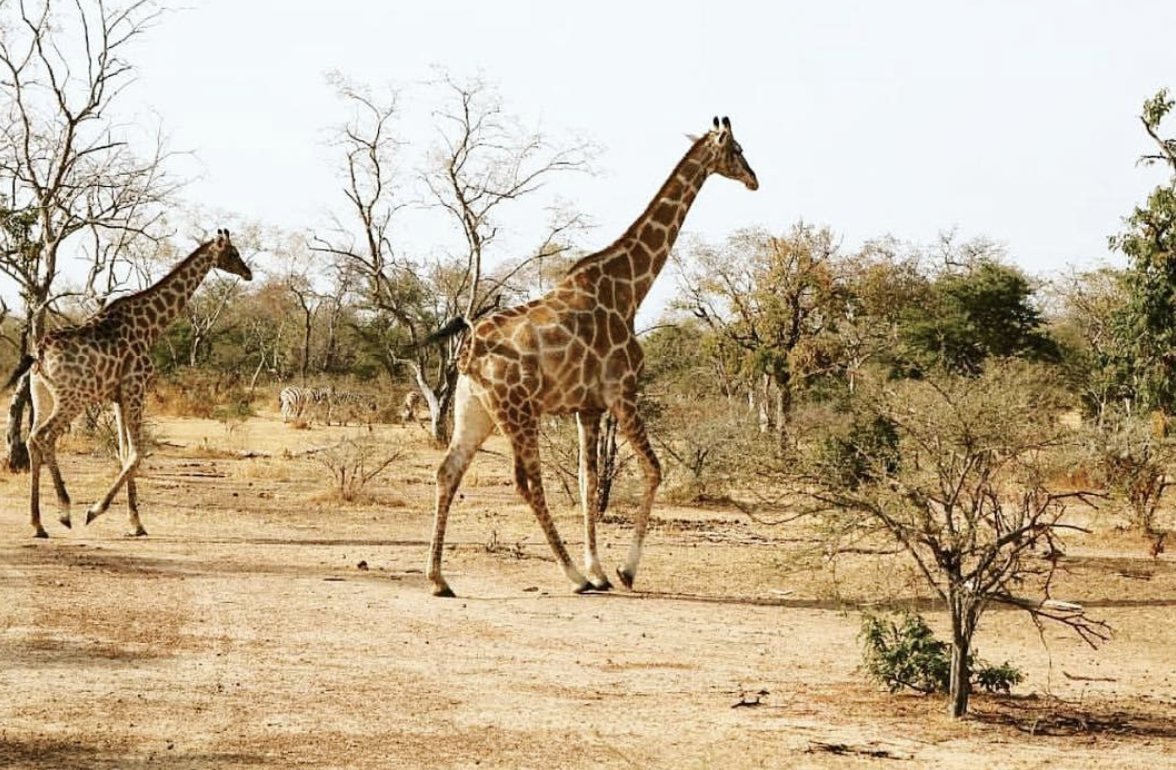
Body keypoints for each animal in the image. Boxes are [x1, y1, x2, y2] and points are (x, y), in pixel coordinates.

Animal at [11, 229, 254, 536]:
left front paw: (135, 523)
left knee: (32, 440)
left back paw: (38, 523)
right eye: (233, 253)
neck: (150, 324)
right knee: (44, 437)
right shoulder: (136, 388)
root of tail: (39, 352)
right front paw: (95, 511)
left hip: (42, 394)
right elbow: (137, 453)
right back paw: (64, 511)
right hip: (72, 397)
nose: (248, 273)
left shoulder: (119, 396)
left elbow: (124, 451)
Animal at [428, 115, 757, 597]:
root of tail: (469, 348)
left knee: (447, 471)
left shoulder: (588, 407)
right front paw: (623, 571)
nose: (755, 180)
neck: (630, 289)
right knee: (527, 484)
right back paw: (572, 575)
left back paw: (438, 579)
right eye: (736, 149)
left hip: (476, 410)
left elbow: (588, 482)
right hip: (518, 411)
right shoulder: (624, 392)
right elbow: (653, 470)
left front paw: (601, 569)